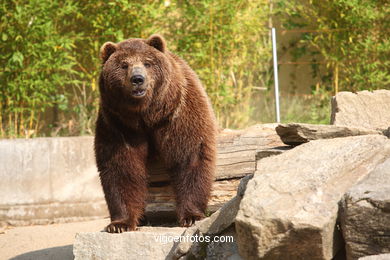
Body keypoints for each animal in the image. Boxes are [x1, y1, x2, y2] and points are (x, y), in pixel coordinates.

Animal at [93, 35, 218, 234]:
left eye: (147, 62)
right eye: (124, 65)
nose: (137, 79)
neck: (146, 115)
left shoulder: (178, 113)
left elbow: (190, 156)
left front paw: (191, 216)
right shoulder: (118, 124)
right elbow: (121, 167)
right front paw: (119, 224)